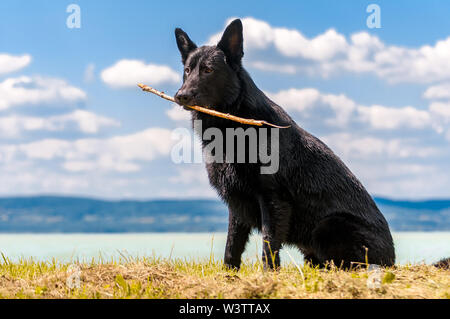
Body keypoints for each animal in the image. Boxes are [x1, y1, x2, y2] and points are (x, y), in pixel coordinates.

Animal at [174, 18, 396, 270]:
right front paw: (229, 274)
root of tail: (392, 260)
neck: (235, 127)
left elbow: (268, 244)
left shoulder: (273, 200)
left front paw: (268, 275)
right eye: (187, 71)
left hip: (328, 226)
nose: (180, 95)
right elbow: (232, 246)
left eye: (208, 70)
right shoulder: (238, 204)